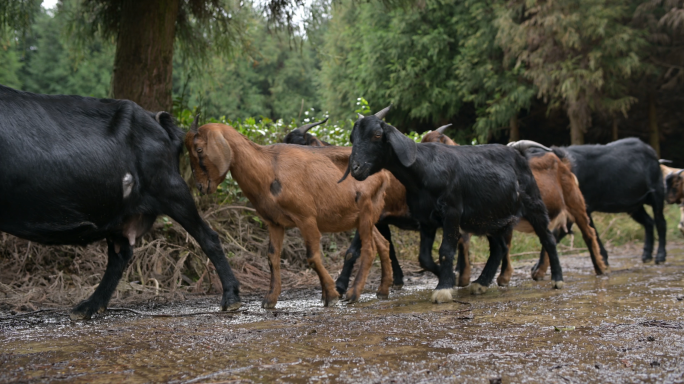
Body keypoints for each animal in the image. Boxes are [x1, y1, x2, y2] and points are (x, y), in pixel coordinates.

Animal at [0, 85, 240, 320]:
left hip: (172, 190)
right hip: (119, 214)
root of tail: (155, 118)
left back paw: (231, 298)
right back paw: (89, 306)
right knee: (120, 255)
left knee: (208, 237)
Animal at [184, 115, 392, 308]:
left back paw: (354, 294)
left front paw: (331, 295)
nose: (200, 186)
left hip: (367, 209)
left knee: (369, 249)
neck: (269, 167)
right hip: (363, 217)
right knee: (383, 243)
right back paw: (383, 290)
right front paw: (270, 299)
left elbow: (312, 257)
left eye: (199, 149)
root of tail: (383, 172)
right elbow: (272, 258)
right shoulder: (274, 223)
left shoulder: (306, 218)